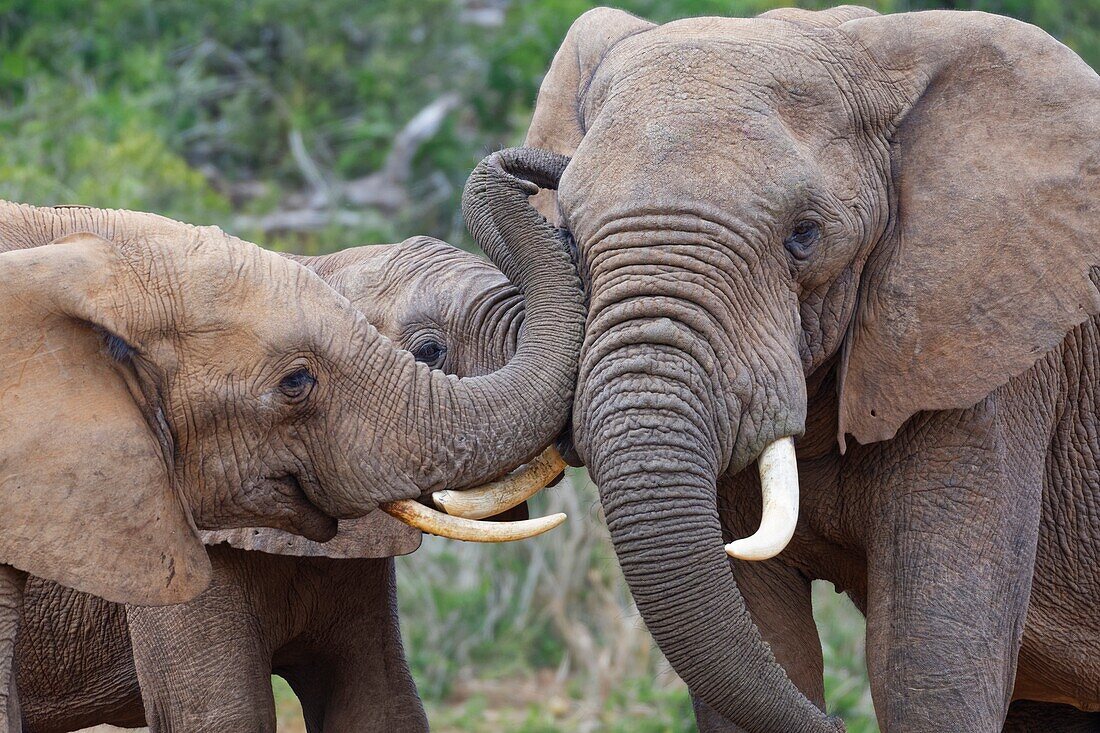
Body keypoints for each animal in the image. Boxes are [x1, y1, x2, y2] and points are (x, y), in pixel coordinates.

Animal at [479, 5, 1100, 730]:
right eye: (570, 237)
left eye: (804, 235)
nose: (526, 168)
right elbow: (768, 631)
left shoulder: (987, 358)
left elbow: (927, 670)